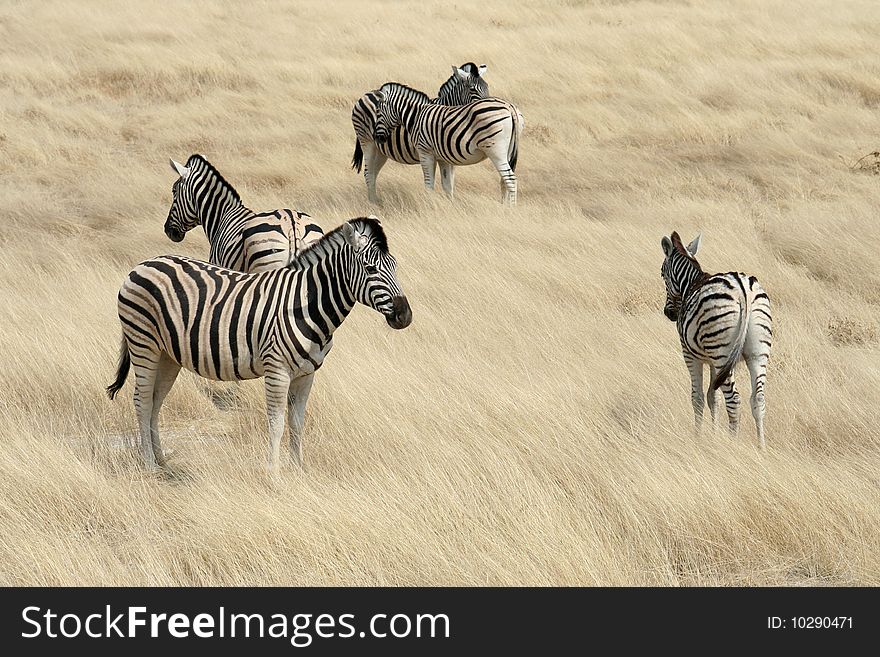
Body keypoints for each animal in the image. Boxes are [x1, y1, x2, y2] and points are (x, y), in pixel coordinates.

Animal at [106, 218, 412, 468]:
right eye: (370, 269)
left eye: (396, 266)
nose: (405, 316)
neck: (306, 304)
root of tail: (143, 264)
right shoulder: (276, 370)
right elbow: (276, 425)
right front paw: (274, 475)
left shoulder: (307, 374)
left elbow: (297, 423)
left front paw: (299, 470)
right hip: (143, 343)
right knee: (142, 400)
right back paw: (149, 465)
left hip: (168, 354)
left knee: (156, 401)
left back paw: (161, 460)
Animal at [350, 64, 488, 204]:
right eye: (472, 89)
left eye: (487, 87)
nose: (485, 107)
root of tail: (367, 94)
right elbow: (444, 184)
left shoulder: (449, 156)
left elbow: (449, 184)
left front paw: (450, 203)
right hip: (367, 142)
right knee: (368, 173)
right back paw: (372, 204)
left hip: (381, 149)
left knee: (373, 172)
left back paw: (376, 202)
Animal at [372, 88, 524, 204]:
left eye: (378, 112)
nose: (376, 137)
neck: (415, 117)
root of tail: (509, 107)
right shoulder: (442, 158)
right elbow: (447, 184)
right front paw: (449, 205)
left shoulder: (425, 151)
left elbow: (429, 183)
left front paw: (429, 204)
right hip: (509, 151)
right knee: (504, 180)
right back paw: (504, 206)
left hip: (495, 151)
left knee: (510, 179)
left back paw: (511, 209)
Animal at [656, 229, 772, 446]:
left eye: (662, 274)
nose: (669, 314)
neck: (690, 284)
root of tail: (743, 289)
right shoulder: (712, 361)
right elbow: (713, 397)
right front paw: (713, 433)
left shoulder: (690, 355)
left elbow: (698, 397)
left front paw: (698, 437)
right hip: (757, 352)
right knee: (758, 399)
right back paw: (761, 447)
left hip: (722, 352)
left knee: (734, 399)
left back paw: (732, 443)